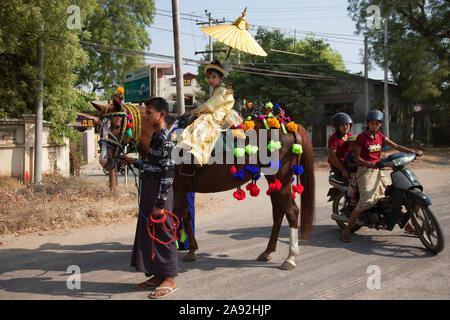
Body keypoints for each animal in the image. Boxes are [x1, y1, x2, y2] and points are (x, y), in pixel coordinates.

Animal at [92, 99, 314, 270]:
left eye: (116, 126)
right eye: (99, 128)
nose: (104, 160)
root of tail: (290, 125)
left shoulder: (177, 186)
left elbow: (181, 214)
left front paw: (187, 249)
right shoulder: (180, 188)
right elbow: (185, 215)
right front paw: (188, 248)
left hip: (282, 180)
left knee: (291, 211)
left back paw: (290, 257)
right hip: (274, 180)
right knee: (278, 212)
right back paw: (268, 251)